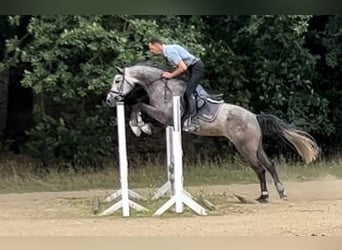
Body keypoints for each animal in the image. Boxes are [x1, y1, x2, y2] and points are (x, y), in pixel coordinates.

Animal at [105, 64, 320, 201]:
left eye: (117, 80)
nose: (109, 99)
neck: (159, 86)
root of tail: (254, 116)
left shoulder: (165, 116)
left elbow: (139, 105)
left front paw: (139, 127)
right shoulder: (166, 121)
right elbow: (139, 105)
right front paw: (141, 126)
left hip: (245, 147)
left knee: (259, 168)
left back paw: (264, 196)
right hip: (255, 146)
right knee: (269, 165)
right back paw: (278, 192)